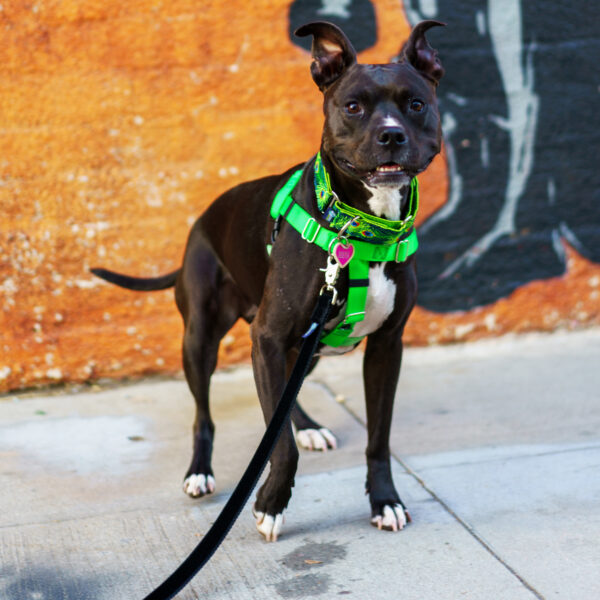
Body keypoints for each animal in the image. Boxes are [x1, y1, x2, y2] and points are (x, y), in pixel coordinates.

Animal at [91, 21, 442, 540]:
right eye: (353, 106)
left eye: (415, 104)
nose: (392, 135)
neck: (358, 231)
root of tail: (200, 223)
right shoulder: (270, 338)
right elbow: (281, 447)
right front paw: (271, 503)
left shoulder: (385, 347)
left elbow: (379, 437)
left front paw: (385, 500)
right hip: (201, 338)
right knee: (204, 416)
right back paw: (200, 471)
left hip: (300, 346)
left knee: (285, 400)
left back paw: (307, 424)